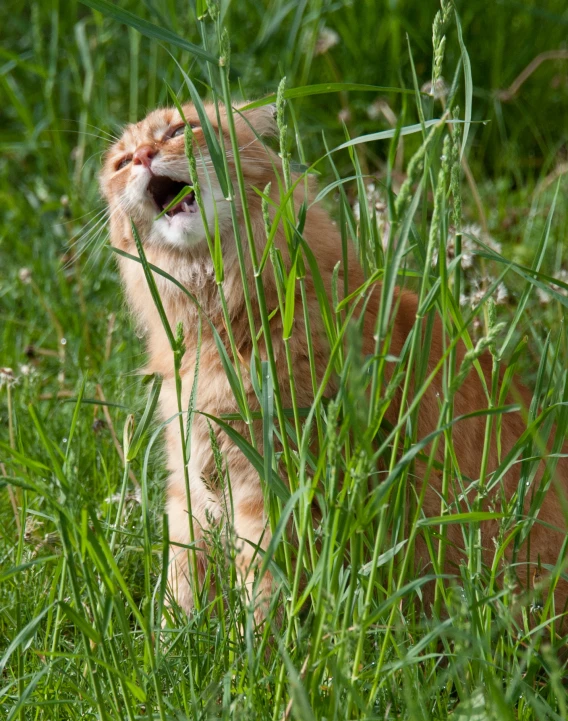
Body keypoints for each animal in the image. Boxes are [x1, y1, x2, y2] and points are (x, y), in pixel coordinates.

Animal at [102, 100, 568, 620]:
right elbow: (180, 587)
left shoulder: (278, 487)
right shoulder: (189, 483)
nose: (144, 156)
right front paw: (172, 637)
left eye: (180, 130)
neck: (219, 325)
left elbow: (266, 592)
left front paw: (253, 643)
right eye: (120, 164)